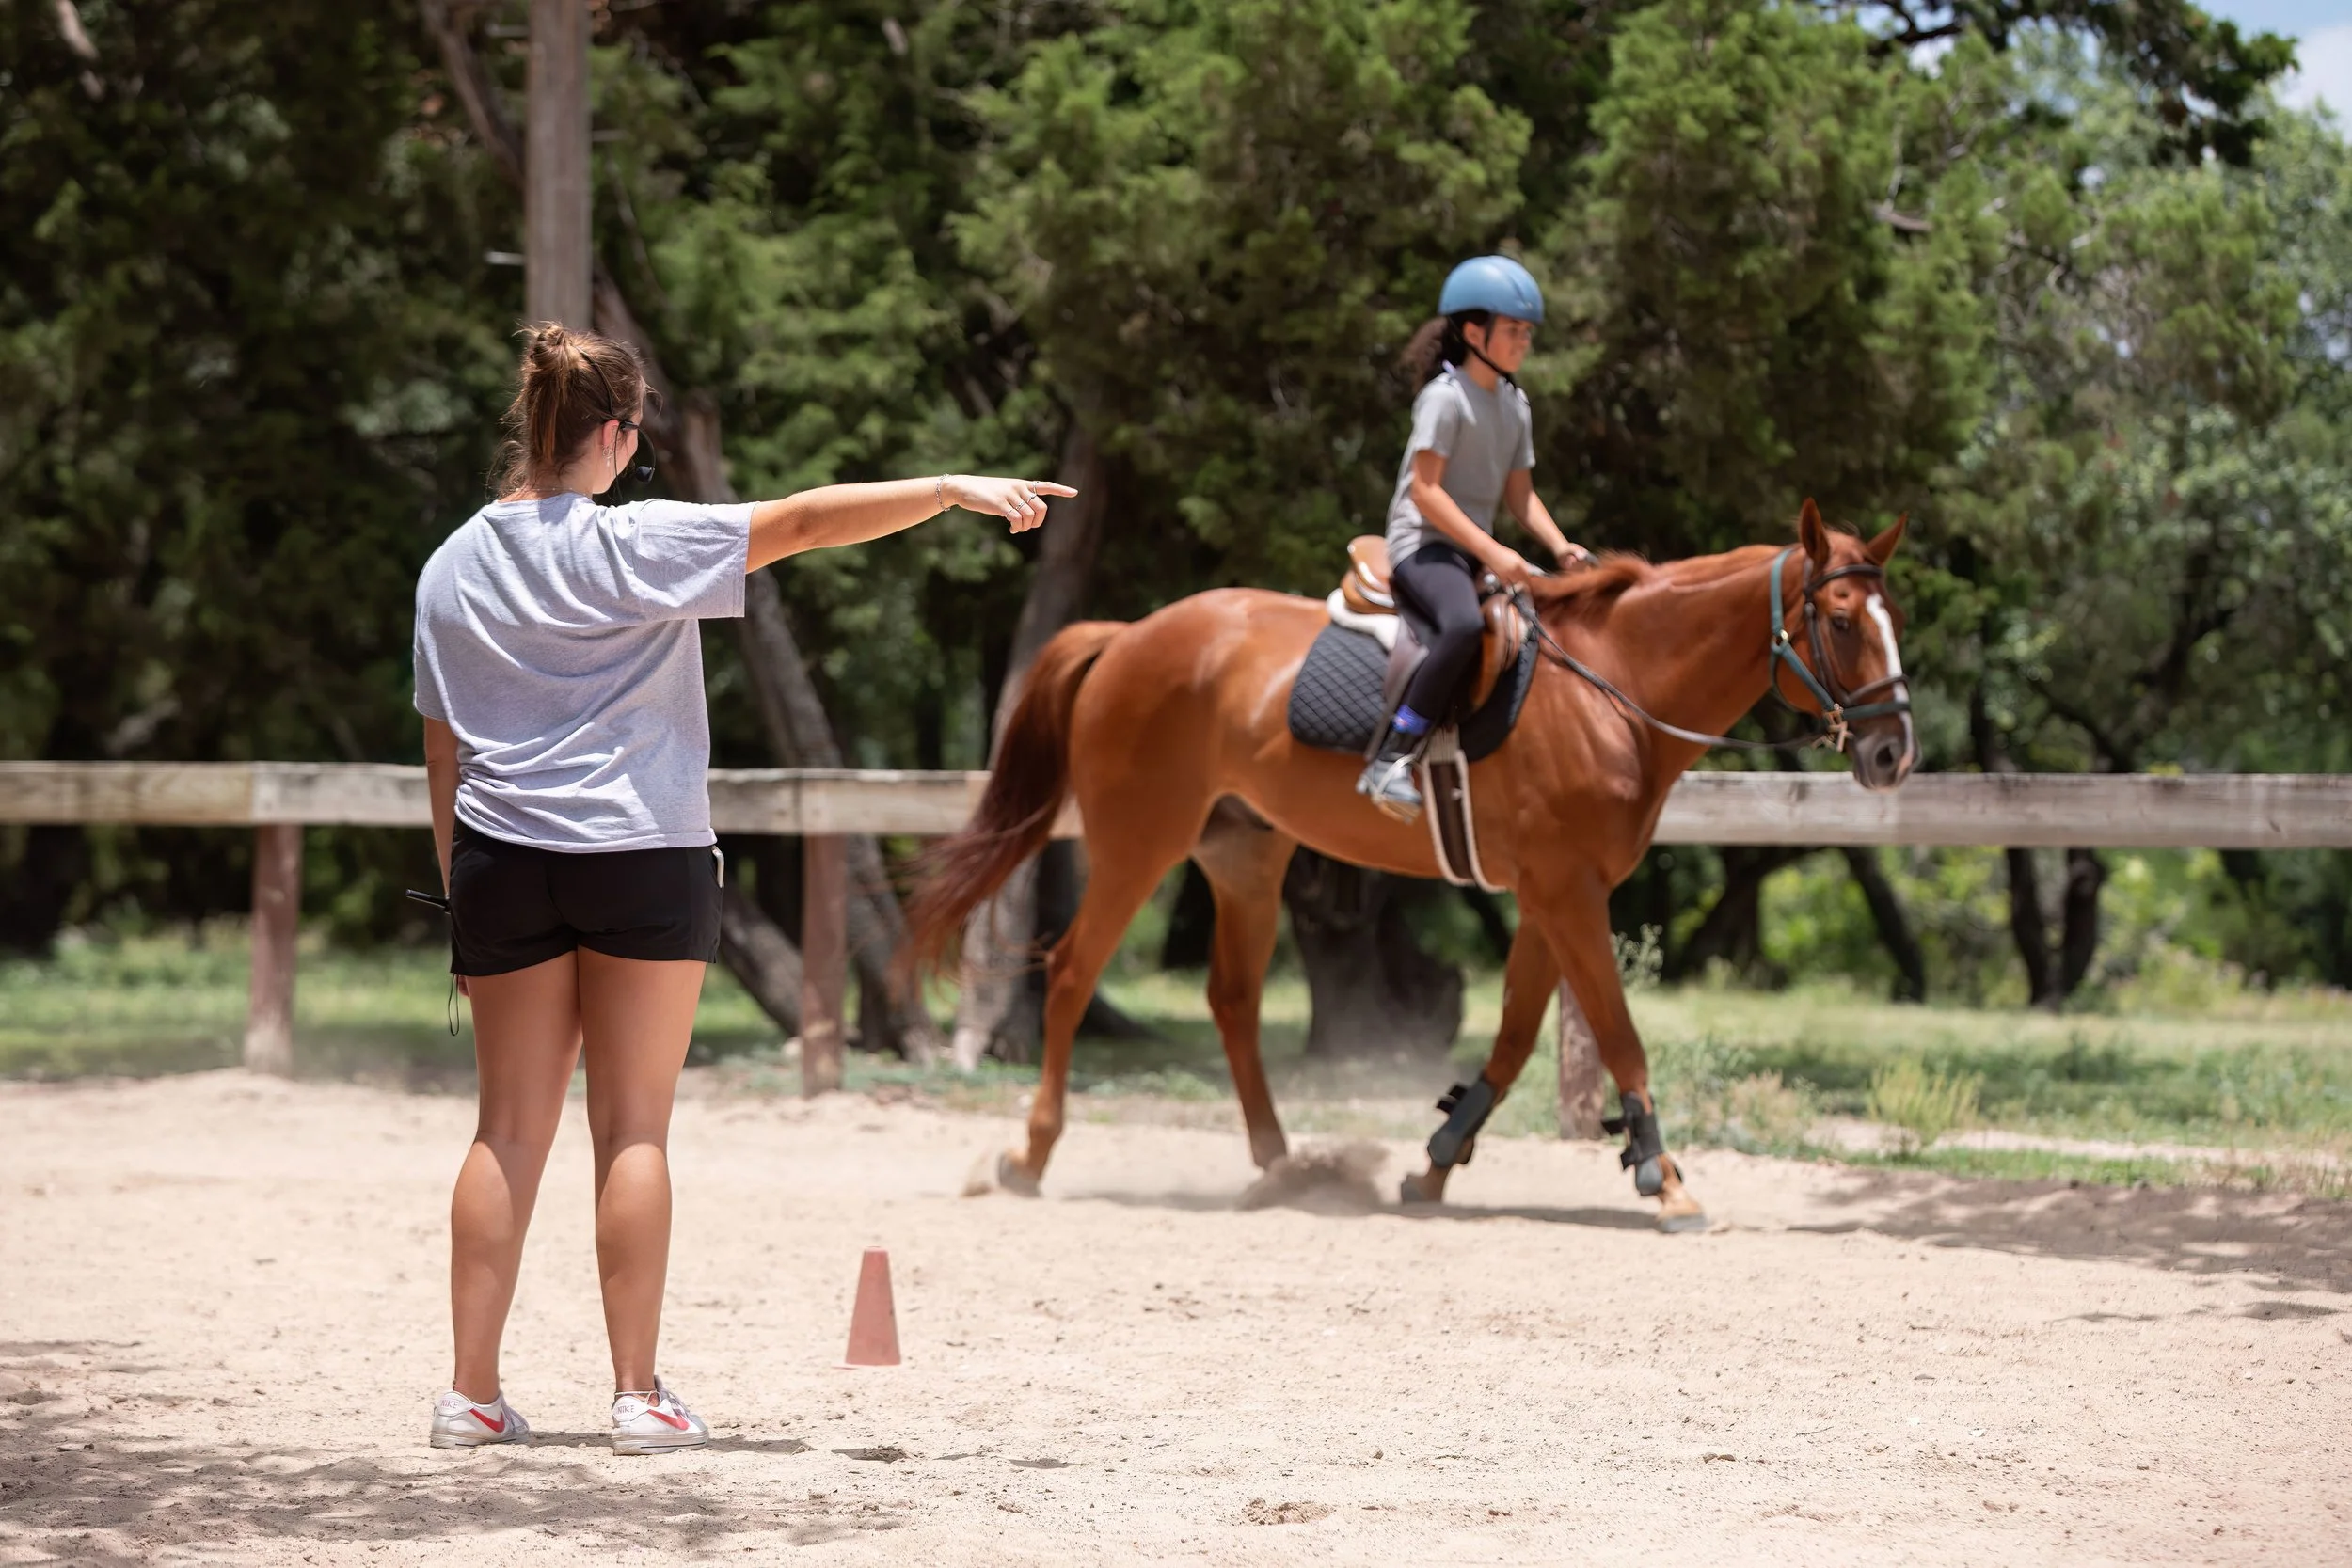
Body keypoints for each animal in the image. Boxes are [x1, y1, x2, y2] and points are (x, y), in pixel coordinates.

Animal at [905, 500, 1915, 1228]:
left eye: (1890, 616)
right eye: (1839, 618)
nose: (1893, 753)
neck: (1613, 690)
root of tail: (1126, 634)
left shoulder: (1549, 896)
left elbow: (1513, 1037)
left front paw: (1436, 1164)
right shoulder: (1568, 893)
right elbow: (1618, 1032)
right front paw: (1662, 1178)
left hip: (1243, 856)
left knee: (1232, 998)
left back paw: (1281, 1166)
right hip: (1137, 841)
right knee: (1074, 970)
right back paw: (1030, 1156)